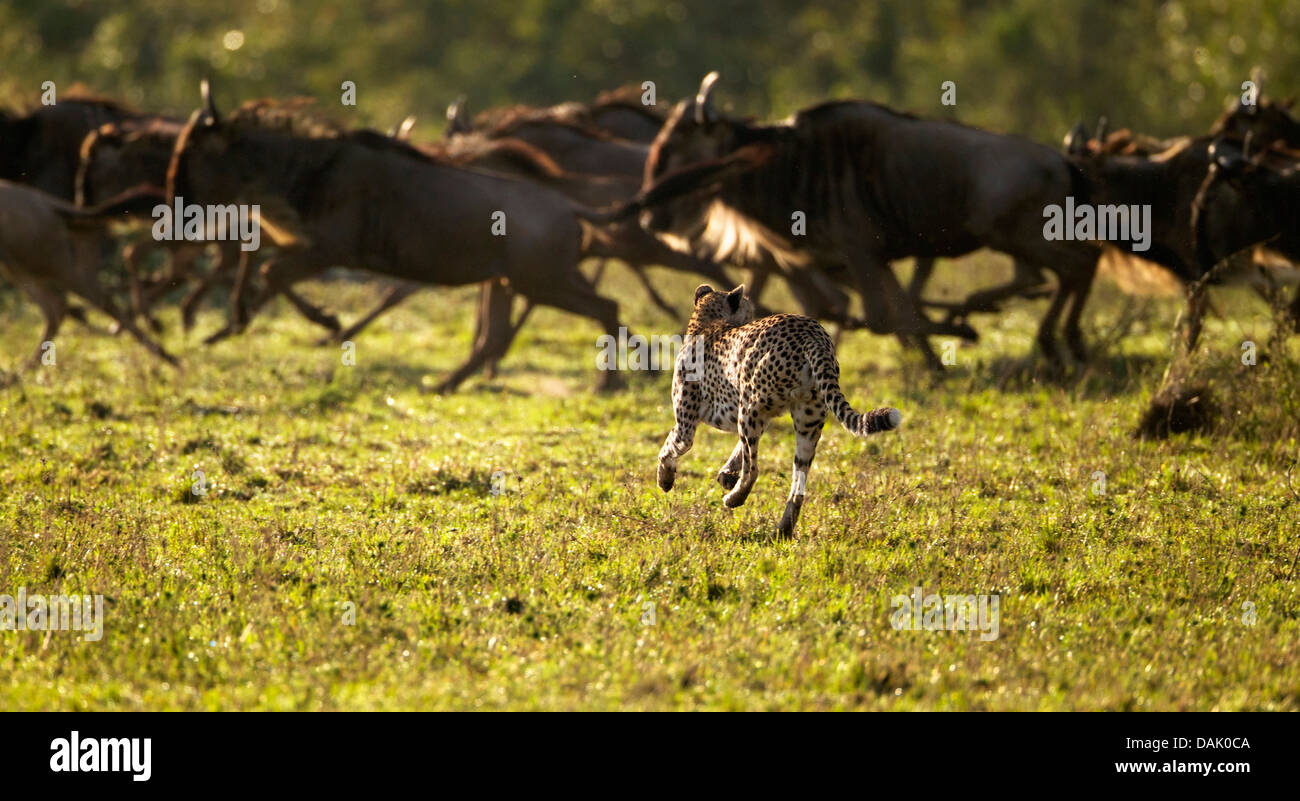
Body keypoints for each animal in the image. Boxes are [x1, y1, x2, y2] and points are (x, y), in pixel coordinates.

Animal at [655, 283, 899, 538]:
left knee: (753, 470)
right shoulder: (762, 415)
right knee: (798, 481)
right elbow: (739, 448)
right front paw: (727, 474)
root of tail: (811, 333)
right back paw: (783, 530)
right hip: (806, 420)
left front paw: (665, 480)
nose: (752, 317)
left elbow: (669, 447)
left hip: (750, 405)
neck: (705, 321)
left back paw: (734, 499)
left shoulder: (687, 425)